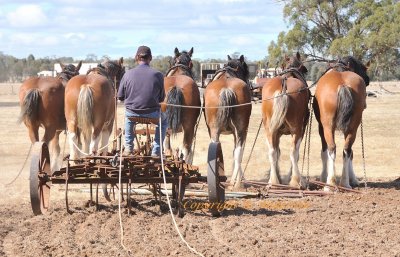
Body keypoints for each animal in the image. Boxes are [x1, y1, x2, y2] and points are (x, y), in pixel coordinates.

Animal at [260, 52, 310, 187]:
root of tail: (283, 89)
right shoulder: (301, 130)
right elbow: (295, 154)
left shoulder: (277, 132)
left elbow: (277, 152)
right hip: (296, 130)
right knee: (293, 152)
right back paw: (296, 181)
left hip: (269, 129)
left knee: (272, 152)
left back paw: (273, 181)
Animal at [314, 55, 370, 189]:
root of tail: (343, 85)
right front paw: (353, 179)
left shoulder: (321, 127)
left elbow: (324, 152)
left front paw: (323, 177)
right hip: (353, 128)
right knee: (347, 150)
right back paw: (345, 183)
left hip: (328, 127)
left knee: (332, 148)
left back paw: (330, 183)